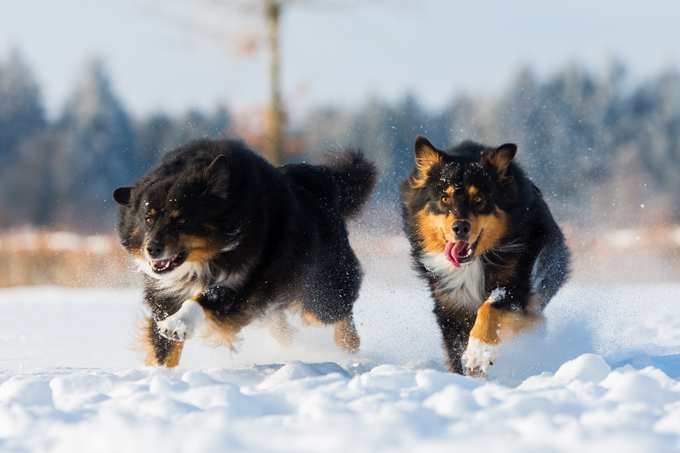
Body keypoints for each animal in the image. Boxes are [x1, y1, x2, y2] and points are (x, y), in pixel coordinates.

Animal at [113, 139, 378, 368]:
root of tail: (323, 182)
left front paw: (178, 323)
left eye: (183, 220)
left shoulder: (247, 281)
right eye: (148, 219)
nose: (152, 249)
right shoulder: (166, 294)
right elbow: (164, 350)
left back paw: (349, 345)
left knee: (338, 312)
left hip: (320, 292)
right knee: (280, 324)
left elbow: (206, 297)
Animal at [398, 136, 568, 372]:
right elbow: (456, 351)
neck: (472, 264)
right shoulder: (450, 304)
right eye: (444, 199)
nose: (460, 227)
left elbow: (490, 308)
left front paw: (479, 351)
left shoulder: (516, 284)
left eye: (478, 199)